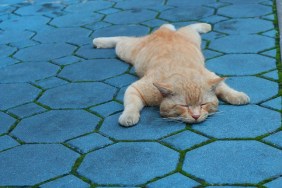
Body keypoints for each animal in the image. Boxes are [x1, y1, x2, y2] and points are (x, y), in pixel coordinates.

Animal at [93, 23, 250, 126]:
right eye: (184, 106)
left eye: (203, 104)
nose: (196, 116)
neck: (183, 73)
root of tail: (164, 31)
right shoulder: (135, 88)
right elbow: (132, 104)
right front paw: (129, 116)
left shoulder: (210, 75)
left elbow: (224, 88)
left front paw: (237, 95)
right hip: (126, 51)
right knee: (121, 38)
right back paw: (99, 41)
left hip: (192, 37)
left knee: (183, 26)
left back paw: (204, 26)